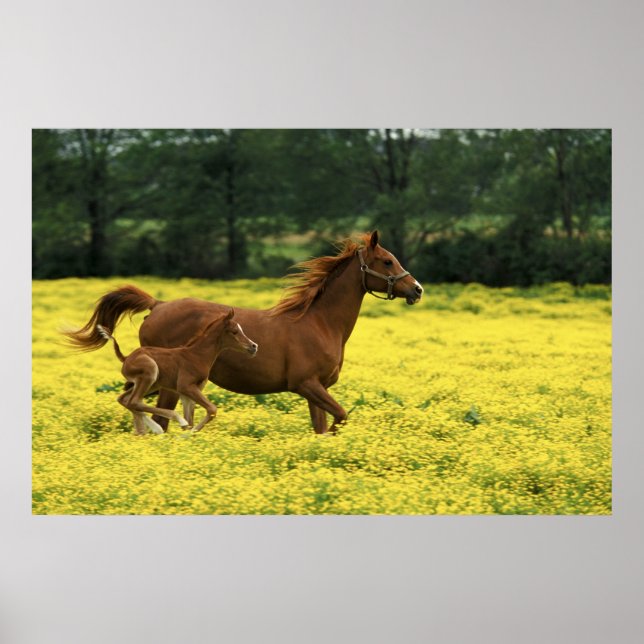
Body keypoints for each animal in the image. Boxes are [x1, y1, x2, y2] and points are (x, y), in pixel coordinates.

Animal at [63, 231, 423, 433]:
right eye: (387, 261)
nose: (417, 289)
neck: (320, 323)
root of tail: (158, 304)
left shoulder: (315, 390)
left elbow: (321, 428)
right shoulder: (306, 384)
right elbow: (341, 417)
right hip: (165, 384)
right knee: (152, 413)